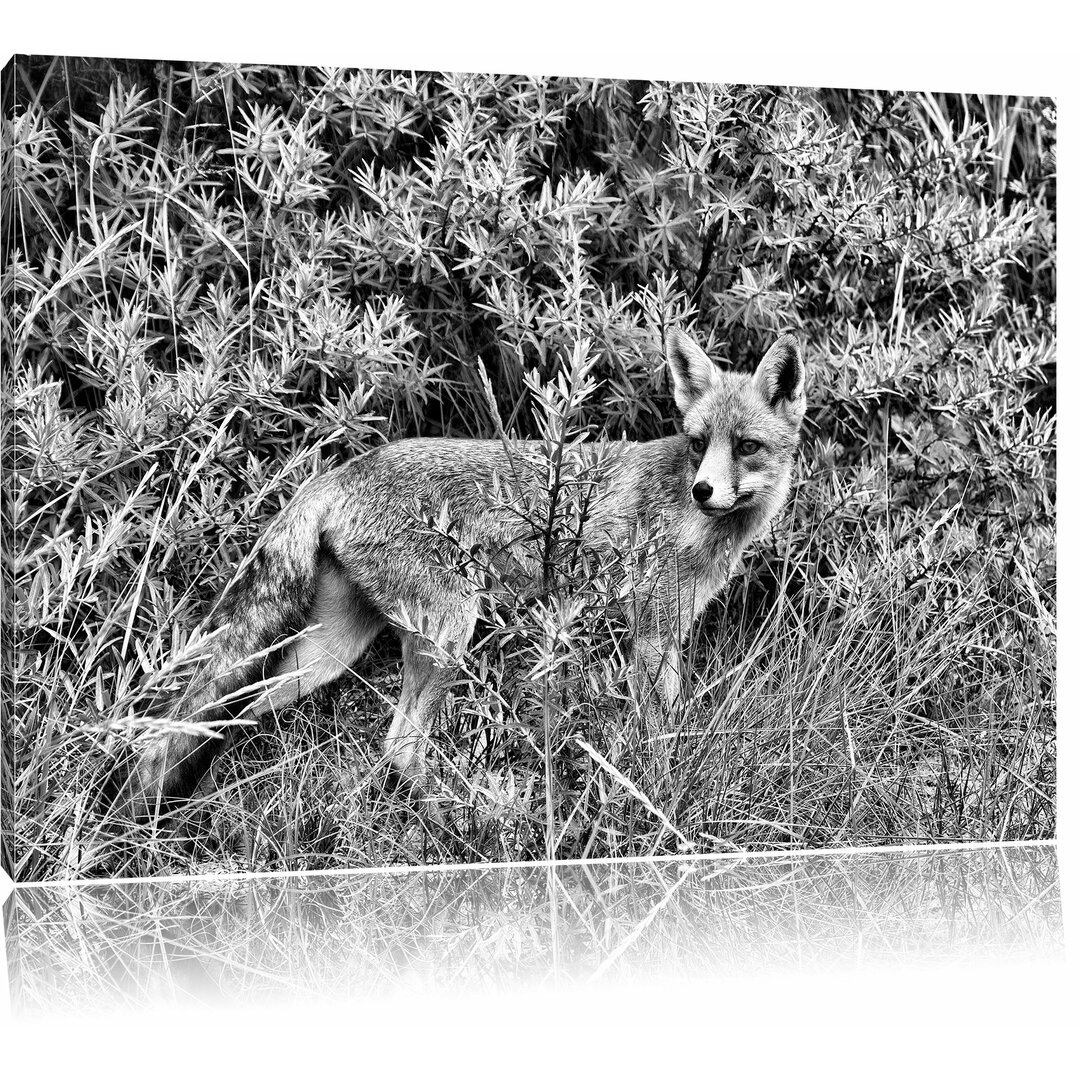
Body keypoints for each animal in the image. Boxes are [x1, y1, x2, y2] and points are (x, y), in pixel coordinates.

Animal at [105, 328, 807, 816]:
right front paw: (655, 785)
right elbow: (657, 729)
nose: (703, 490)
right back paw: (458, 814)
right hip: (449, 629)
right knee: (400, 744)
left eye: (747, 446)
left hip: (331, 650)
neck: (696, 528)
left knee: (237, 712)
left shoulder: (667, 629)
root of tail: (339, 472)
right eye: (697, 442)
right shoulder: (652, 631)